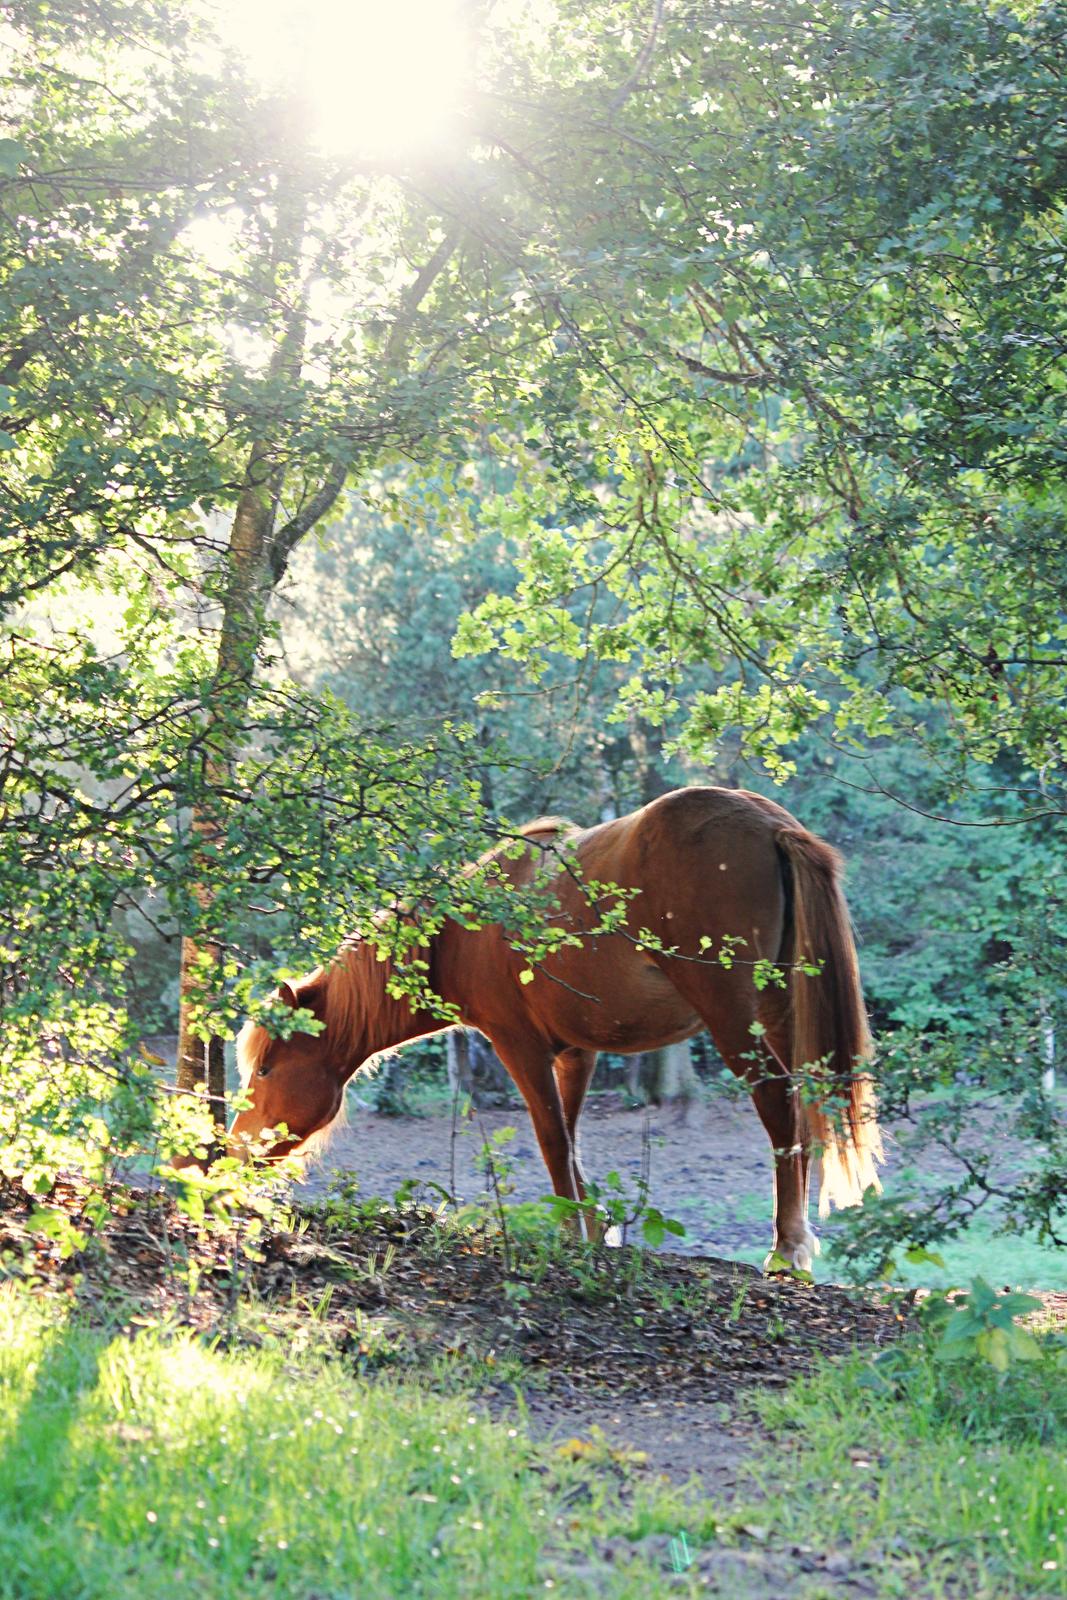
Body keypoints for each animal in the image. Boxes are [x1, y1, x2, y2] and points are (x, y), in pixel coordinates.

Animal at [233, 780, 883, 1267]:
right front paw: (592, 1228)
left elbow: (550, 1139)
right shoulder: (576, 1052)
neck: (462, 933)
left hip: (733, 1021)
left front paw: (570, 1233)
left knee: (780, 1106)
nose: (231, 1149)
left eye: (265, 1068)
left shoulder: (518, 1046)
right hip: (779, 1017)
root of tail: (772, 825)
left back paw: (787, 1247)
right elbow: (570, 1141)